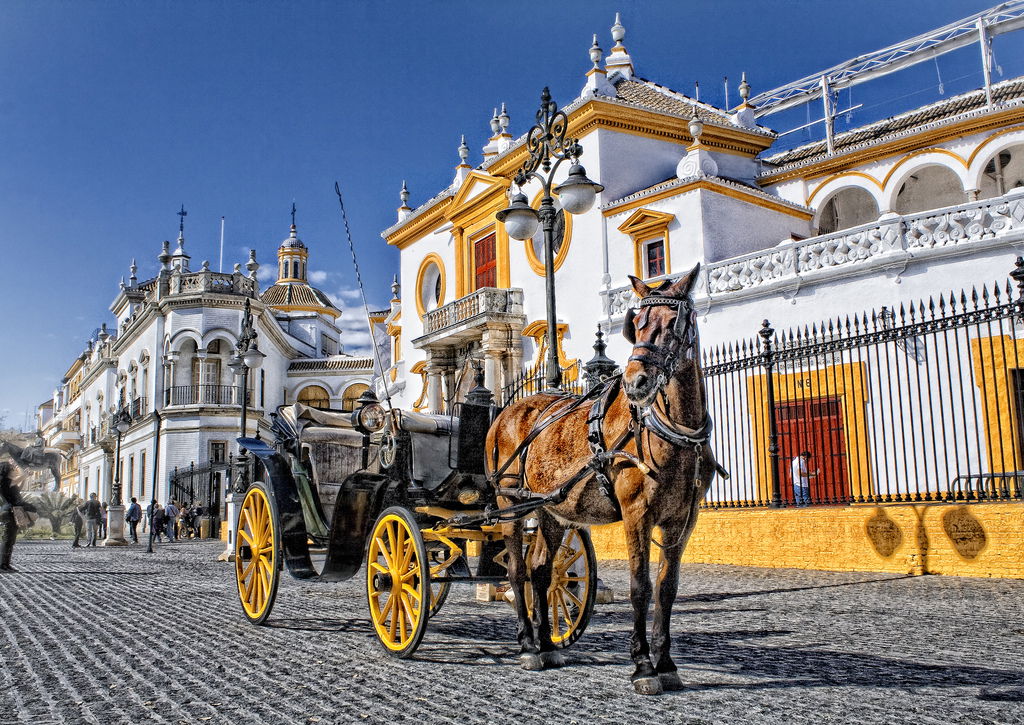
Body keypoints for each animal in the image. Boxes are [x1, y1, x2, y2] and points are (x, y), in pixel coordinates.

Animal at [483, 264, 716, 692]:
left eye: (675, 321)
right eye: (636, 324)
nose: (636, 381)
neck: (675, 430)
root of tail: (508, 410)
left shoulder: (682, 519)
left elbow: (667, 588)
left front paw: (666, 663)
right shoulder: (637, 513)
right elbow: (640, 586)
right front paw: (642, 665)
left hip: (551, 510)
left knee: (542, 570)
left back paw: (548, 645)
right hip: (511, 504)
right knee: (518, 571)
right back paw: (527, 644)